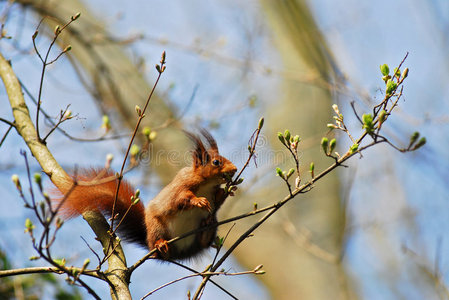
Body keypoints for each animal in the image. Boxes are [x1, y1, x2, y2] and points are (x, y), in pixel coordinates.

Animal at [56, 131, 236, 260]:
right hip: (157, 227)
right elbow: (181, 199)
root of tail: (180, 253)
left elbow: (217, 199)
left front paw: (226, 191)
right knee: (159, 248)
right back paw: (160, 245)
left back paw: (208, 225)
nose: (234, 169)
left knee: (204, 241)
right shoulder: (181, 186)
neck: (207, 184)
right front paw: (198, 201)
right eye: (216, 162)